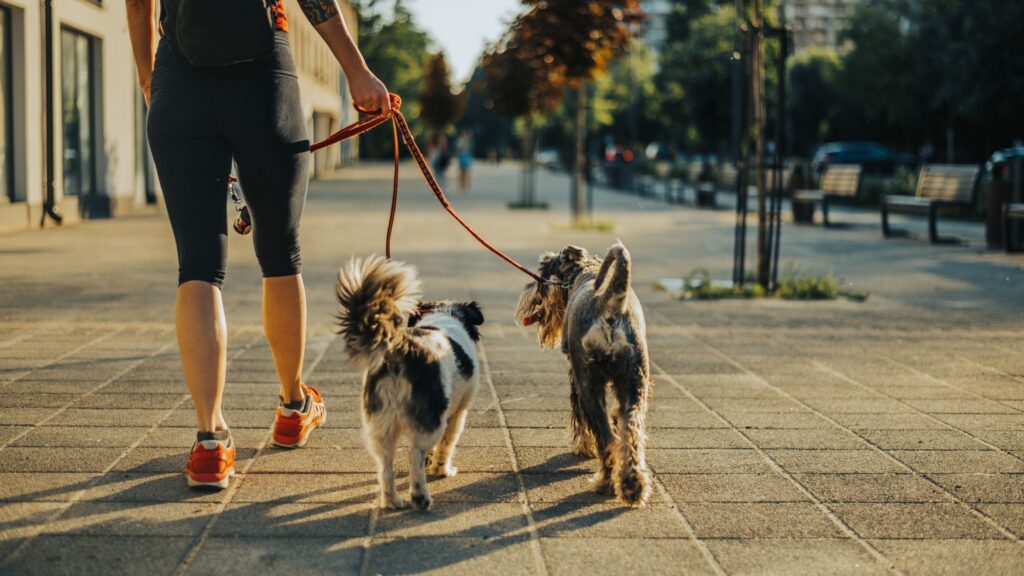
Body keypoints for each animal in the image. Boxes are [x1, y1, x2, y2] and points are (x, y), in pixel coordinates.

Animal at [333, 258, 481, 508]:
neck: (444, 315)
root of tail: (398, 348)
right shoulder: (458, 413)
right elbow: (446, 445)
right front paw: (442, 470)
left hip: (381, 422)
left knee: (385, 466)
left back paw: (393, 501)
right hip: (430, 416)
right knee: (414, 454)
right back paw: (420, 498)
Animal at [516, 239, 651, 504]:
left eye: (542, 276)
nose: (529, 295)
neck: (582, 270)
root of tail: (611, 304)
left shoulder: (575, 376)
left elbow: (580, 420)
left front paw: (582, 447)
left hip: (588, 384)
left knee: (607, 438)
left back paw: (605, 483)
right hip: (636, 383)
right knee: (631, 433)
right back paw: (633, 486)